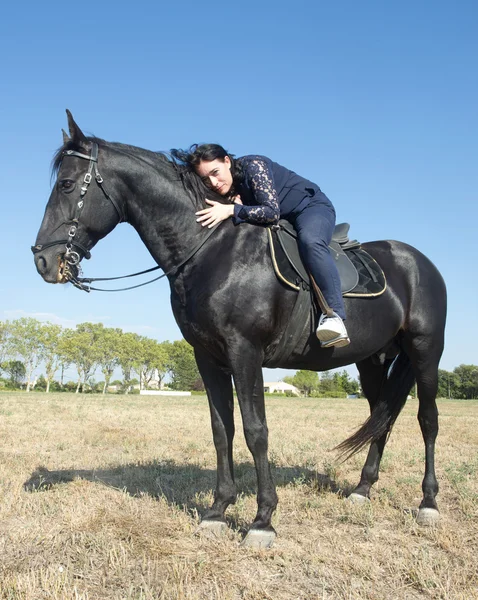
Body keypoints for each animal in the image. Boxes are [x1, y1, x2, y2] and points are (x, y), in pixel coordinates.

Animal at [33, 112, 448, 548]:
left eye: (66, 184)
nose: (43, 260)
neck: (212, 248)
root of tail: (419, 262)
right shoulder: (208, 356)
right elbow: (222, 429)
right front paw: (217, 510)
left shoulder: (245, 352)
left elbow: (255, 431)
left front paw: (263, 520)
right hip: (372, 360)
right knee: (381, 418)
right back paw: (362, 490)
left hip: (425, 352)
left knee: (427, 420)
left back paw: (428, 503)